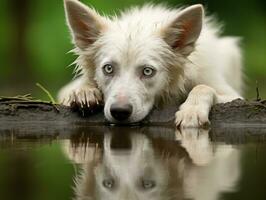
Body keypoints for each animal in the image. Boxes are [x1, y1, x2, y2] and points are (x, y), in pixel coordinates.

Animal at [58, 0, 243, 127]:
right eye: (108, 68)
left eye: (147, 71)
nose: (119, 112)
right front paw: (84, 92)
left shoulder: (234, 96)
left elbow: (203, 87)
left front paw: (192, 111)